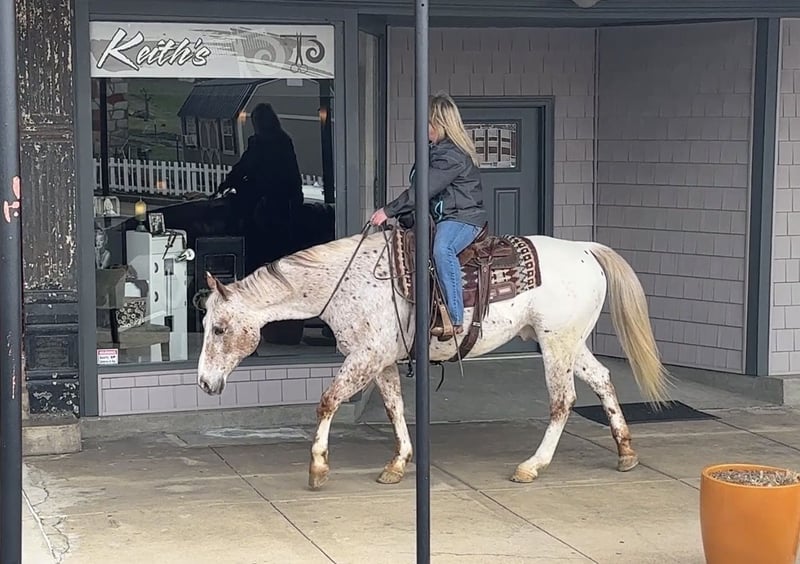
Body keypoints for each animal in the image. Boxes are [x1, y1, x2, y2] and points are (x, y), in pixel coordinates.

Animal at [195, 228, 672, 490]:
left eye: (218, 329)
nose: (203, 383)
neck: (347, 281)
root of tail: (585, 249)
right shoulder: (381, 361)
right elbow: (394, 408)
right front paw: (397, 463)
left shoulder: (365, 357)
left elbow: (328, 401)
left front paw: (317, 467)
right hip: (570, 342)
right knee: (604, 379)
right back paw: (625, 452)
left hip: (556, 344)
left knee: (562, 400)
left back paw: (531, 467)